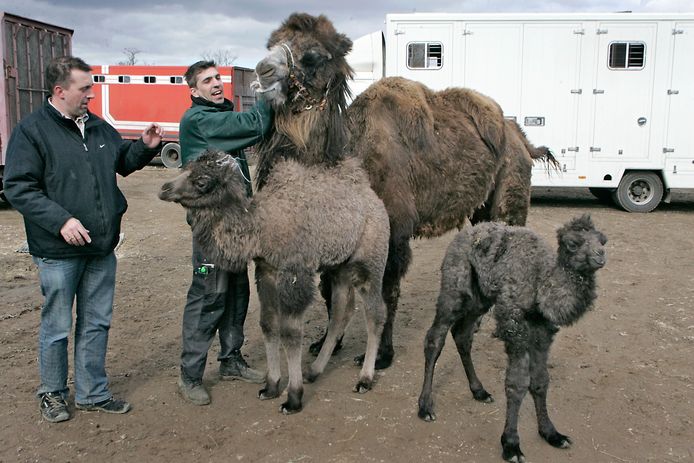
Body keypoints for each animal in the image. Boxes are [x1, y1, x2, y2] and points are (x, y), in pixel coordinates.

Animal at [253, 12, 556, 370]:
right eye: (271, 44)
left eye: (313, 55)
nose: (262, 70)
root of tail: (519, 137)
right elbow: (331, 291)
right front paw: (326, 343)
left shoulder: (393, 229)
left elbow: (386, 292)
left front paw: (381, 355)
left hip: (511, 191)